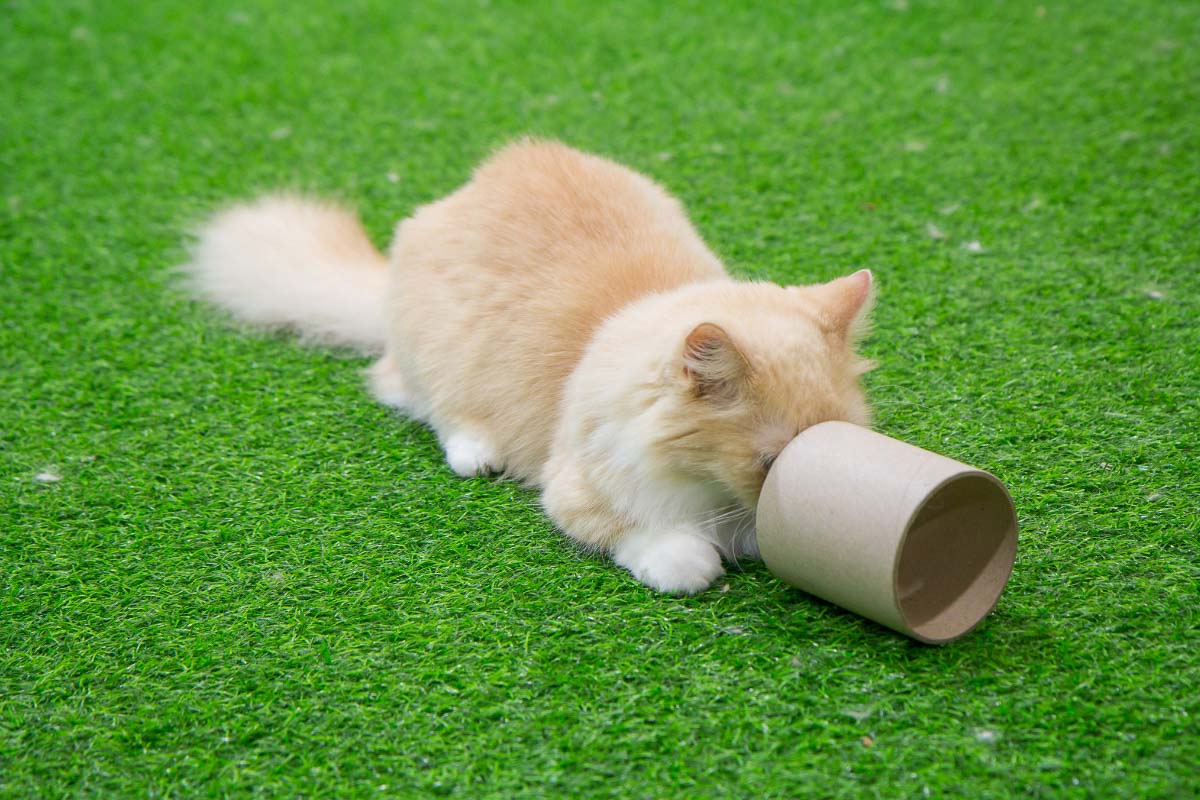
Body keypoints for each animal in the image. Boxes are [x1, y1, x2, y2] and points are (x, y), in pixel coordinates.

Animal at [184, 137, 873, 594]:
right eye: (768, 461)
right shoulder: (577, 489)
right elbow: (667, 551)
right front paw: (700, 561)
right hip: (436, 363)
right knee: (423, 406)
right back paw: (475, 454)